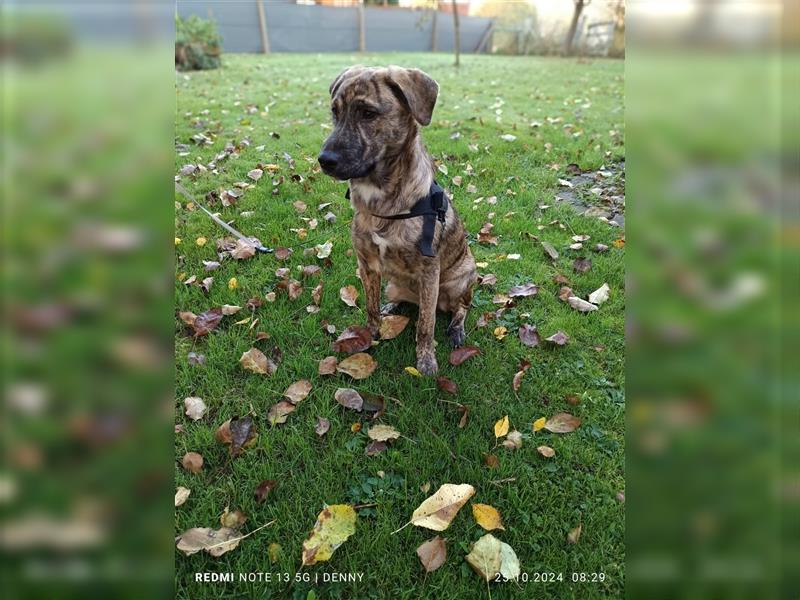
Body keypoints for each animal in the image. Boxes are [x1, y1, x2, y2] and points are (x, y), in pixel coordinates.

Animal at [318, 65, 476, 376]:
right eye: (335, 112)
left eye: (368, 113)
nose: (324, 160)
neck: (383, 201)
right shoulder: (366, 263)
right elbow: (370, 306)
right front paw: (370, 334)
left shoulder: (429, 272)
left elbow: (425, 325)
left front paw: (426, 361)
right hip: (394, 284)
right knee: (401, 299)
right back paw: (392, 306)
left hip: (462, 278)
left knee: (459, 308)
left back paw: (455, 328)